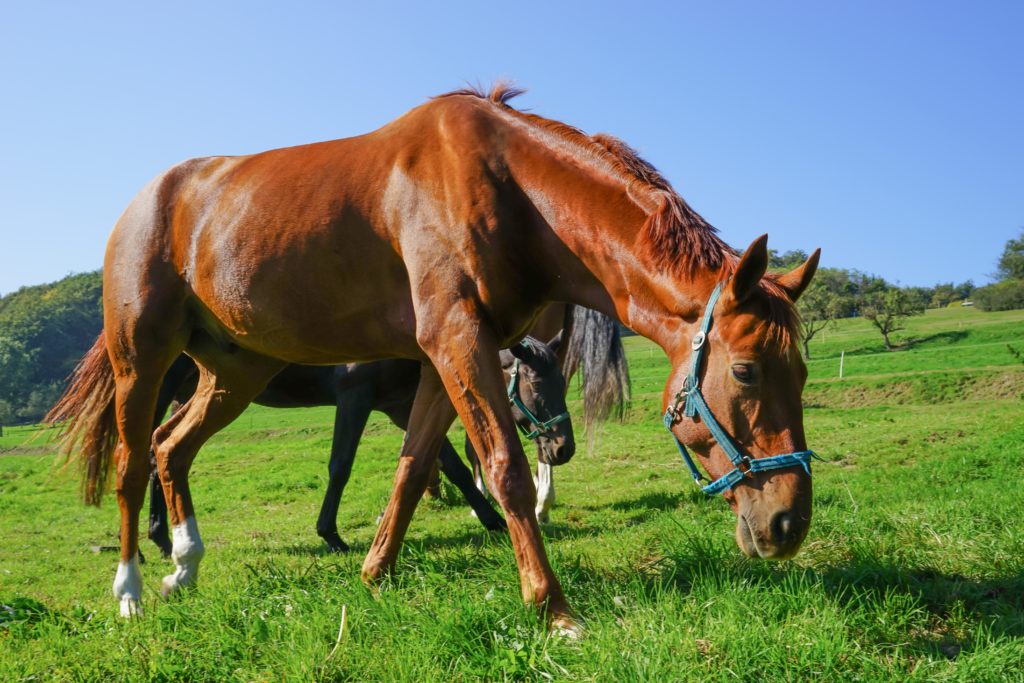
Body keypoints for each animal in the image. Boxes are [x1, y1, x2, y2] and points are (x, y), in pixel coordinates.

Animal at [147, 335, 573, 557]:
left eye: (562, 380)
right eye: (536, 384)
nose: (563, 448)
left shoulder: (400, 407)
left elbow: (453, 467)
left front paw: (493, 520)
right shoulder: (355, 398)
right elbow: (341, 465)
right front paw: (330, 534)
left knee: (160, 453)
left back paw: (162, 539)